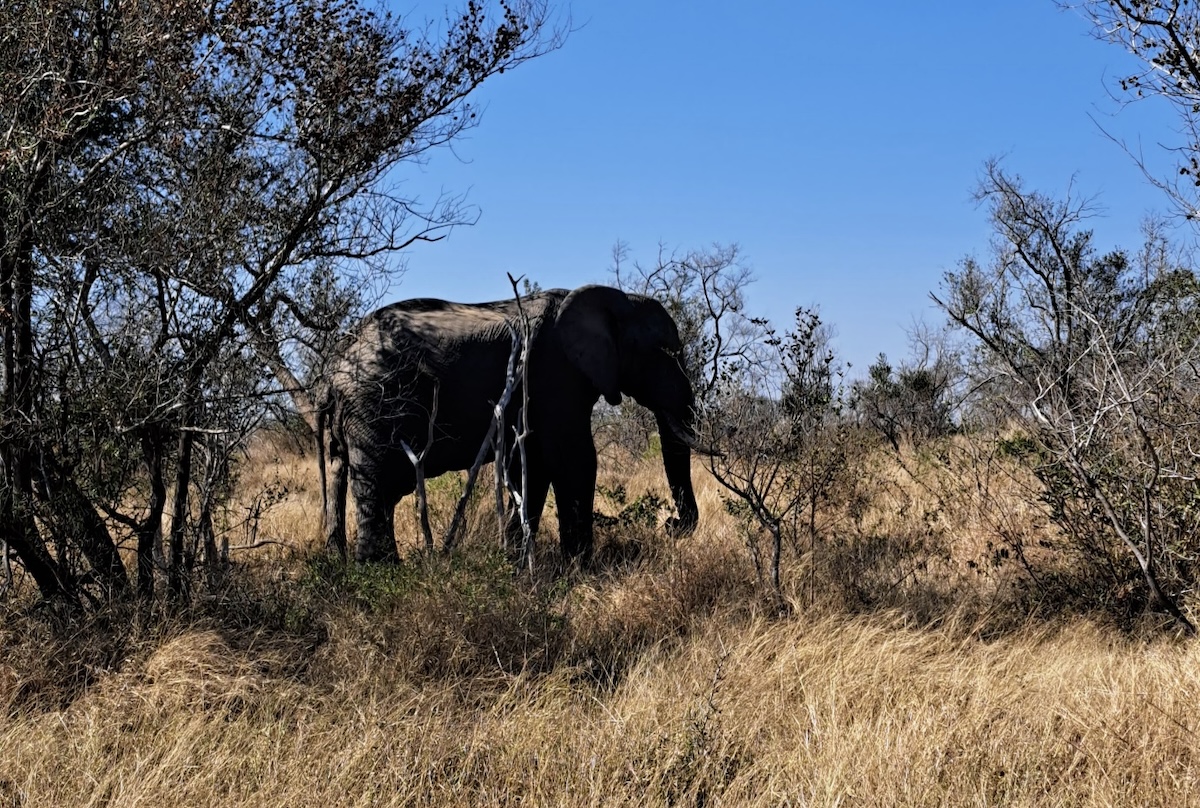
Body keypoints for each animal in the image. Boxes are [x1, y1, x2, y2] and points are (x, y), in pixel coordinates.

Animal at [316, 286, 700, 564]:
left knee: (345, 476)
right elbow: (575, 461)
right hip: (374, 404)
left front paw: (517, 563)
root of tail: (332, 367)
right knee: (377, 485)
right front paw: (581, 569)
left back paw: (341, 563)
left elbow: (531, 469)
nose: (671, 525)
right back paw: (380, 572)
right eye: (665, 352)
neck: (616, 298)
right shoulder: (555, 374)